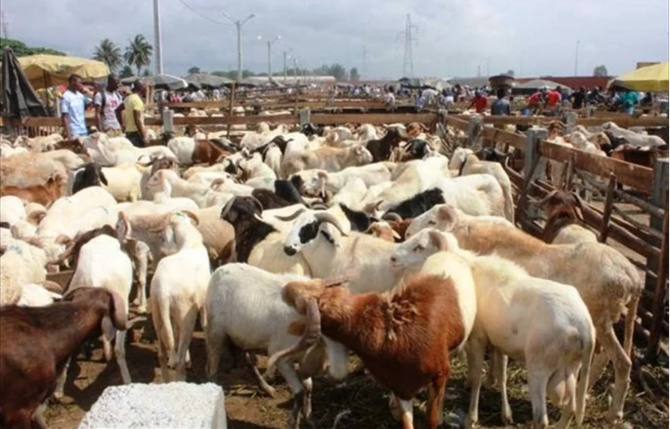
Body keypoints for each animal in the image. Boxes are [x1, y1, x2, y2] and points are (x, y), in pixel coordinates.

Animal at [150, 209, 211, 380]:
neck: (190, 244)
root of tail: (163, 290)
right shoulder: (203, 306)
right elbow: (205, 328)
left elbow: (175, 334)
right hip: (186, 315)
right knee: (180, 359)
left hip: (157, 314)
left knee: (162, 354)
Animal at [270, 270, 472, 428]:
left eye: (302, 304)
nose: (287, 288)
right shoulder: (400, 386)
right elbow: (407, 422)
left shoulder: (440, 374)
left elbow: (432, 419)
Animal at [394, 229, 600, 428]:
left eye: (420, 247)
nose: (394, 259)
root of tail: (584, 325)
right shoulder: (500, 342)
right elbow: (502, 376)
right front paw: (506, 414)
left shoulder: (477, 338)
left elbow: (477, 376)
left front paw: (471, 418)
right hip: (572, 365)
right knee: (571, 407)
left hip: (539, 366)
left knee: (541, 419)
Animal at [414, 205, 644, 422]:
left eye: (432, 221)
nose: (407, 230)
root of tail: (634, 278)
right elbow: (497, 353)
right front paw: (490, 380)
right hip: (605, 321)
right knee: (605, 358)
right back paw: (585, 394)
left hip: (601, 319)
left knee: (622, 362)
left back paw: (614, 413)